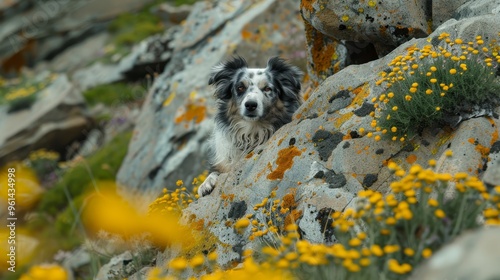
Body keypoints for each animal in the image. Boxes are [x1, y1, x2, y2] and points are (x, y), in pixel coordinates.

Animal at [198, 56, 300, 197]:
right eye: (240, 87)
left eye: (267, 89)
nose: (251, 105)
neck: (252, 132)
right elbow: (214, 171)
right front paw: (205, 184)